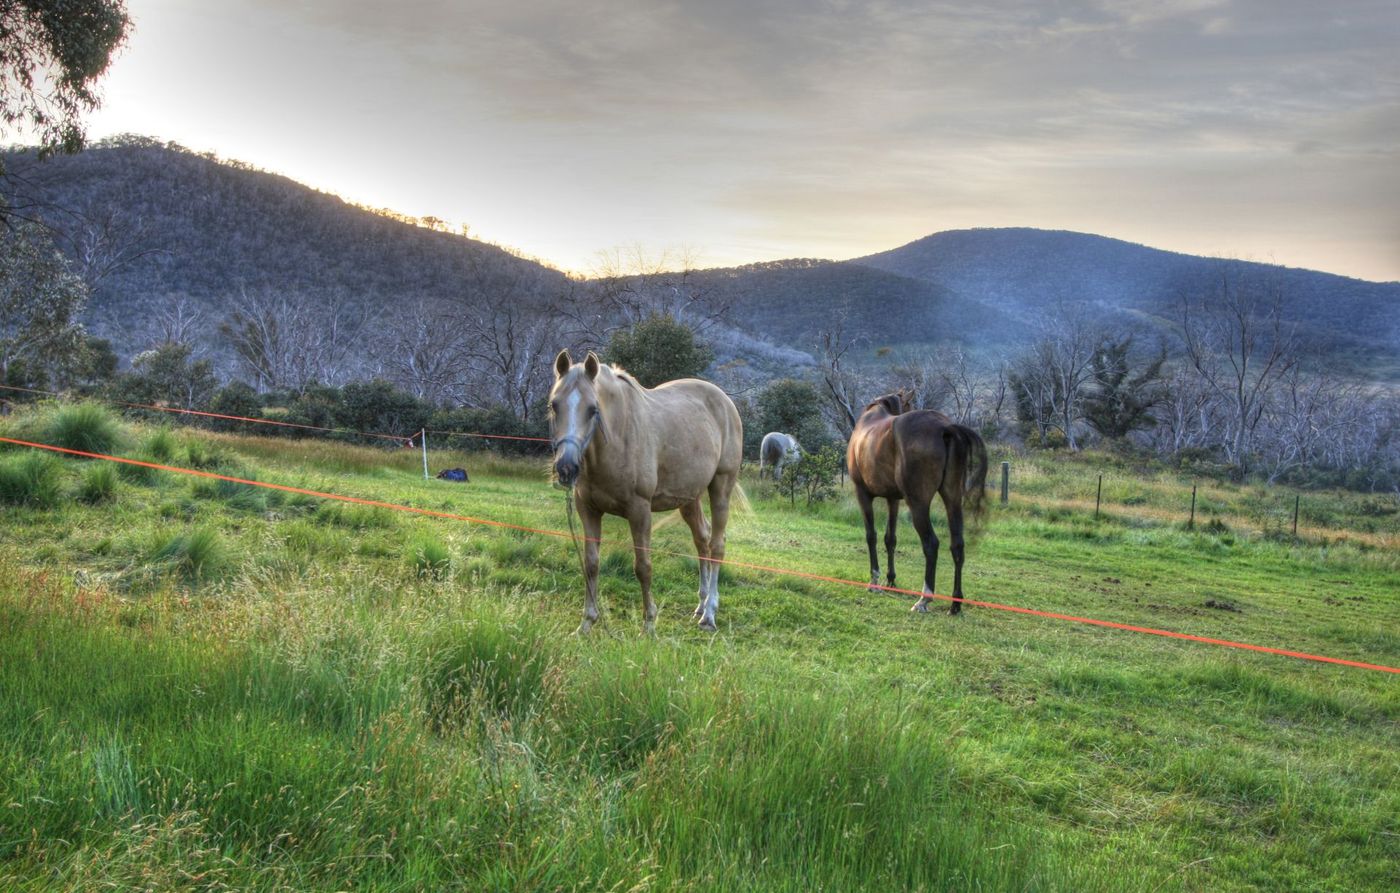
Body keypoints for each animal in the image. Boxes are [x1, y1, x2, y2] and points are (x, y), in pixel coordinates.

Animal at [548, 349, 743, 633]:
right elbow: (591, 564)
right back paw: (701, 604)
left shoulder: (640, 511)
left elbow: (643, 566)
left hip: (721, 486)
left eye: (593, 409)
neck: (618, 440)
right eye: (554, 405)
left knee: (717, 545)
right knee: (702, 540)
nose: (566, 467)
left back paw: (709, 615)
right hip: (690, 498)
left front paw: (649, 624)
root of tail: (725, 402)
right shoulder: (589, 509)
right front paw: (586, 622)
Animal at [847, 393, 989, 614]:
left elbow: (871, 536)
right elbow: (890, 539)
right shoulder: (893, 500)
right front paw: (891, 580)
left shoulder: (863, 493)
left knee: (931, 544)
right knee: (957, 544)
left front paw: (874, 581)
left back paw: (924, 599)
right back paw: (955, 603)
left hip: (918, 505)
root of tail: (945, 428)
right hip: (952, 500)